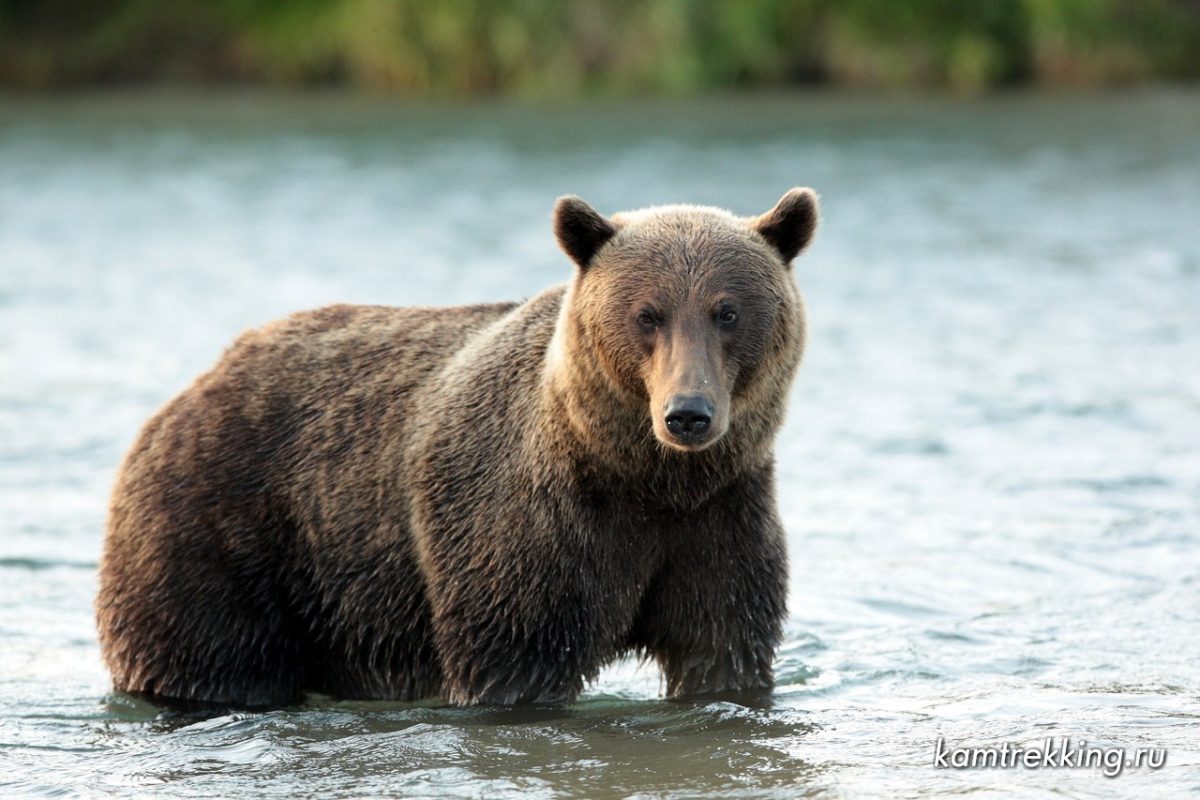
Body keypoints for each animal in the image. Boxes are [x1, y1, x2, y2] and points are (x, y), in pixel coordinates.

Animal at [98, 189, 820, 705]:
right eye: (648, 314)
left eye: (727, 311)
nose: (687, 414)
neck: (641, 477)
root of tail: (193, 386)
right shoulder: (525, 532)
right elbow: (514, 656)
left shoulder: (718, 520)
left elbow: (722, 646)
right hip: (223, 532)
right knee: (212, 655)